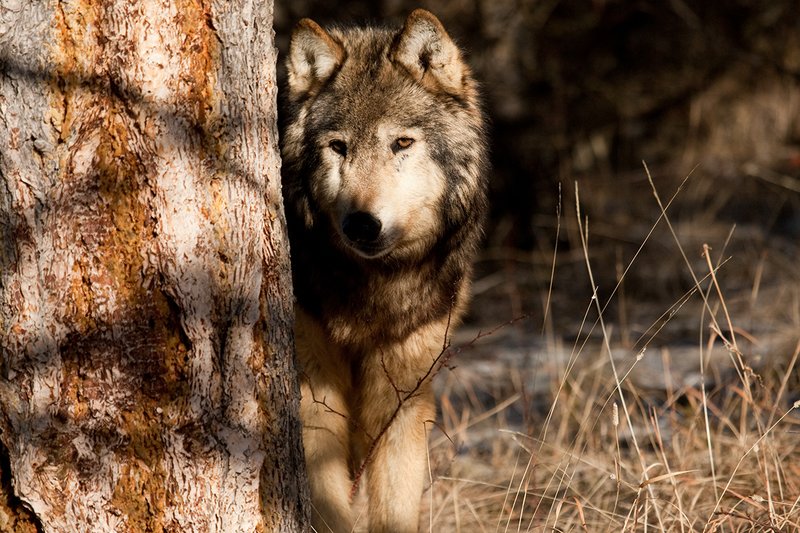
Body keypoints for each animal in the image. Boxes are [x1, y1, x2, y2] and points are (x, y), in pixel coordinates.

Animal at [280, 9, 488, 533]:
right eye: (338, 147)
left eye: (401, 143)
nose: (361, 223)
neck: (373, 295)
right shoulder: (315, 400)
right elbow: (329, 507)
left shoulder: (405, 403)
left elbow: (395, 507)